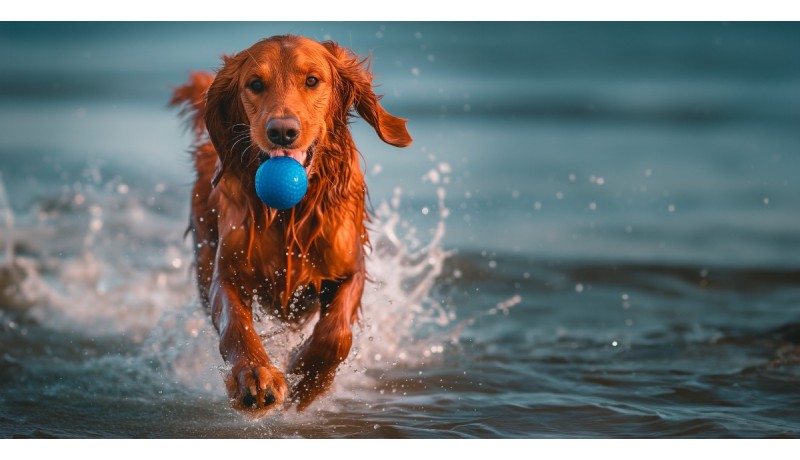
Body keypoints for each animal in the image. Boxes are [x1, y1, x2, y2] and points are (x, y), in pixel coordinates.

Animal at [173, 34, 416, 416]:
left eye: (312, 80)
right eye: (255, 84)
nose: (282, 132)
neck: (289, 215)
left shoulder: (350, 268)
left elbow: (337, 335)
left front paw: (307, 378)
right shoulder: (227, 274)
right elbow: (236, 327)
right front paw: (255, 377)